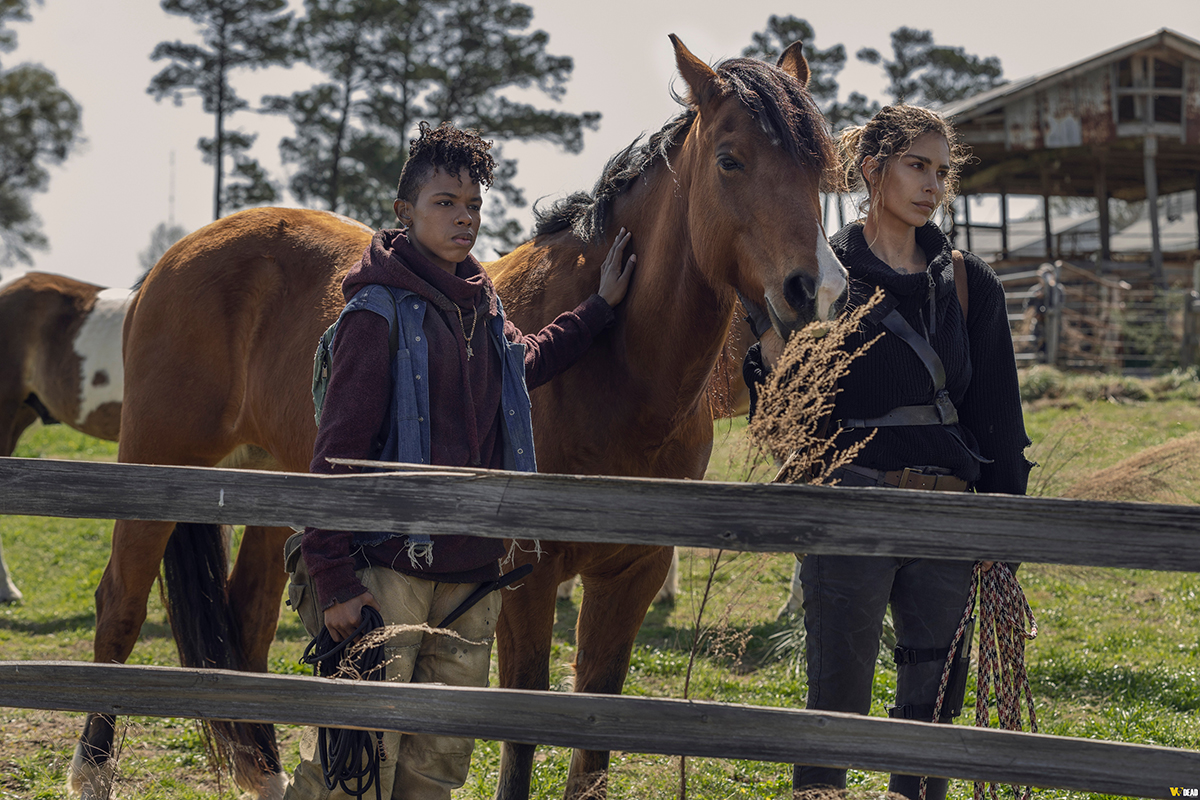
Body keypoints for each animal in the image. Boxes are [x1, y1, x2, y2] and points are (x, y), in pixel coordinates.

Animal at [67, 35, 845, 800]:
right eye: (730, 159)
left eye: (821, 168)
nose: (819, 289)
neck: (617, 369)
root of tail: (172, 261)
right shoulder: (529, 580)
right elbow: (523, 733)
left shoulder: (632, 575)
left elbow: (593, 741)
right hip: (157, 463)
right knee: (121, 606)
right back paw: (93, 771)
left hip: (275, 480)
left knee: (249, 614)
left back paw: (263, 771)